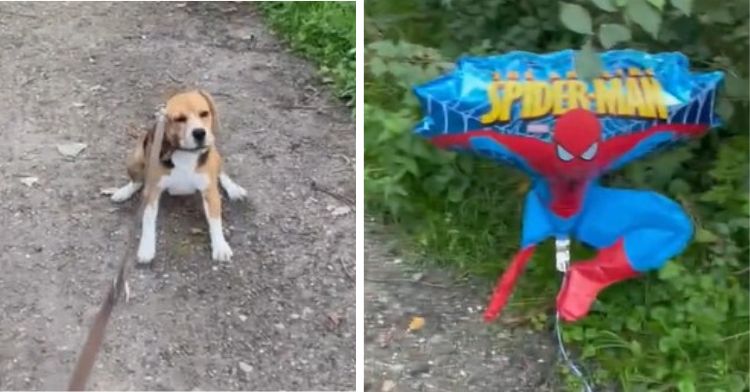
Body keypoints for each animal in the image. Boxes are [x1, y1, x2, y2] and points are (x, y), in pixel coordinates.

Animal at [111, 89, 247, 264]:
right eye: (179, 119)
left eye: (204, 113)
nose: (199, 133)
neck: (185, 152)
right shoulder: (152, 192)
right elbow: (148, 219)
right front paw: (146, 248)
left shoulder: (210, 192)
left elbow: (215, 220)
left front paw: (220, 246)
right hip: (135, 157)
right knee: (137, 181)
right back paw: (124, 191)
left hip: (215, 155)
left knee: (221, 172)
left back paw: (234, 189)